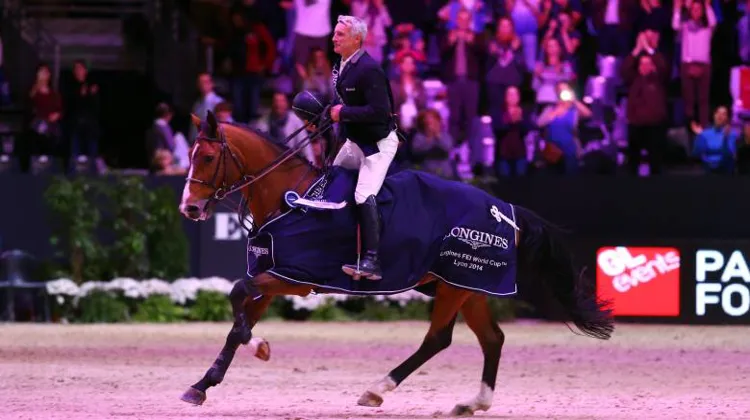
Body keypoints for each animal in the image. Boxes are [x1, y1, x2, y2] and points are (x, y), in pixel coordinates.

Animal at [177, 110, 614, 416]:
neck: (292, 196)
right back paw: (473, 403)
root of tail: (504, 210)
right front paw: (203, 384)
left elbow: (237, 296)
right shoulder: (274, 274)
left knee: (438, 339)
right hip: (470, 286)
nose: (190, 208)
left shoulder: (292, 278)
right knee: (492, 339)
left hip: (455, 285)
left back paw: (377, 389)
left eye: (209, 157)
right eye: (191, 156)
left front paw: (259, 347)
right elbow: (239, 320)